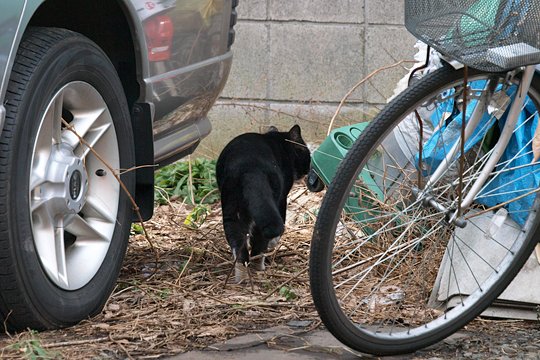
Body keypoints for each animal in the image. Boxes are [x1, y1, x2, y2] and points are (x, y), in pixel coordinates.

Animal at [214, 125, 310, 282]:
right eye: (306, 152)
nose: (308, 168)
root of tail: (249, 169)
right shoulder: (282, 197)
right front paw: (273, 243)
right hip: (271, 200)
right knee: (260, 240)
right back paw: (259, 267)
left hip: (231, 209)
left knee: (238, 243)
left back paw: (241, 277)